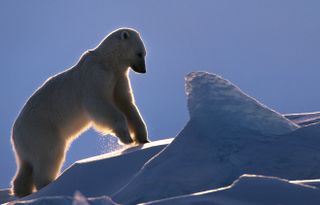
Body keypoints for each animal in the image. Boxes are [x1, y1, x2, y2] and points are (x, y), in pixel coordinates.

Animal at [10, 28, 149, 196]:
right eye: (140, 54)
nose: (143, 70)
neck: (107, 61)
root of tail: (15, 133)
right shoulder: (95, 77)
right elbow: (97, 103)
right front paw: (126, 138)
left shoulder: (119, 78)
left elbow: (126, 104)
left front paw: (143, 139)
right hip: (42, 130)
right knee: (50, 155)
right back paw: (47, 184)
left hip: (27, 143)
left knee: (26, 165)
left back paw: (21, 190)